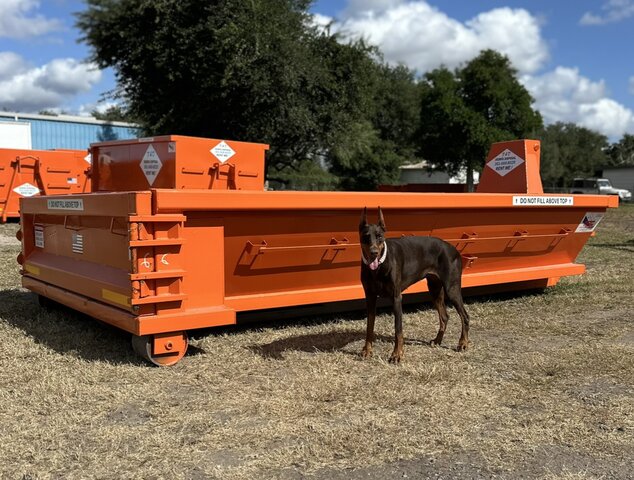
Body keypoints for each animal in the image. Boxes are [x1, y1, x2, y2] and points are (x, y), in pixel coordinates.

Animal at [358, 207, 466, 364]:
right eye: (366, 237)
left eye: (379, 236)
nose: (374, 253)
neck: (379, 267)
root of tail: (454, 249)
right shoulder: (370, 297)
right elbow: (369, 326)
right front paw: (367, 350)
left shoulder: (396, 297)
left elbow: (398, 329)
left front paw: (397, 354)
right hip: (434, 289)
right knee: (445, 316)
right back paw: (437, 340)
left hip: (451, 288)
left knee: (465, 316)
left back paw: (463, 343)